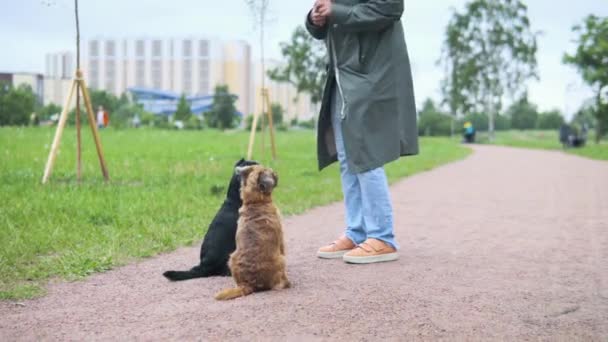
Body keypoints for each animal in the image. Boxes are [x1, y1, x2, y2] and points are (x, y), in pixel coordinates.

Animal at [214, 164, 290, 300]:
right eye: (270, 173)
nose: (276, 173)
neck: (255, 202)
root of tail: (248, 284)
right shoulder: (281, 241)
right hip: (281, 259)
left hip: (231, 258)